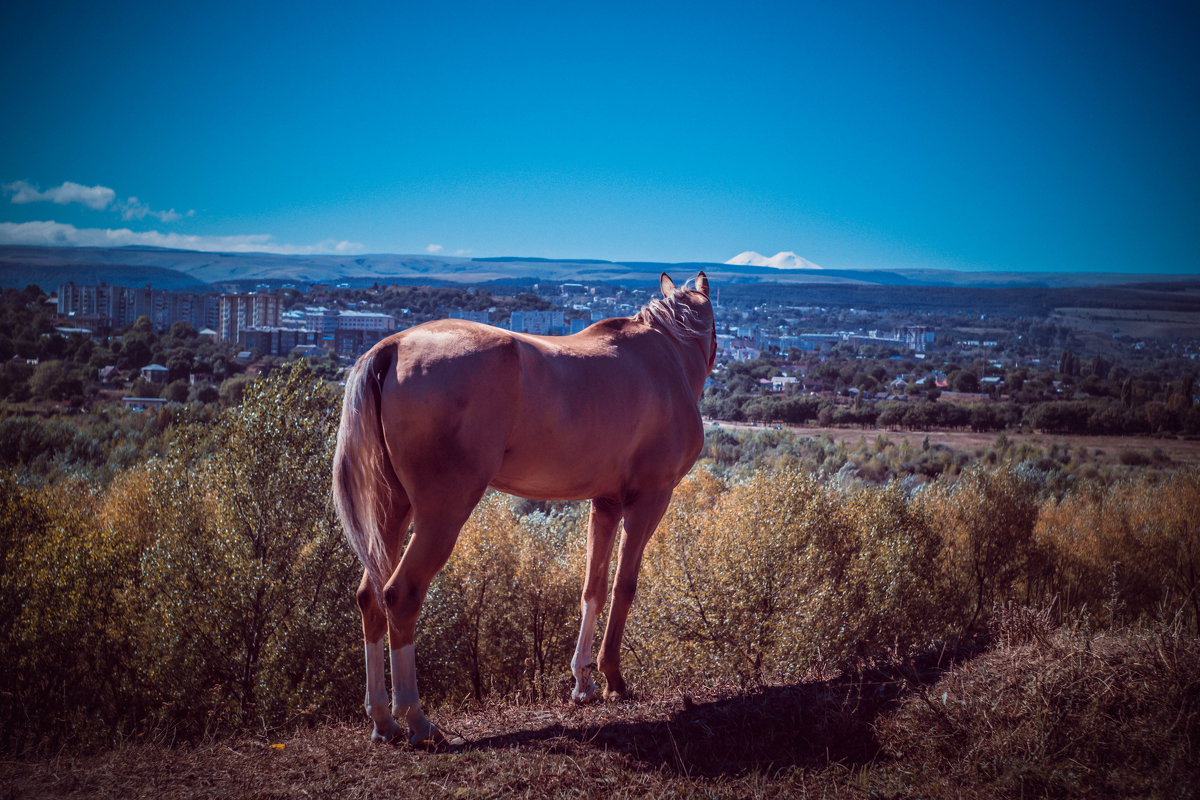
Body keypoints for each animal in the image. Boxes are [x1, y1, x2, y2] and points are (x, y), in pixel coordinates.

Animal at [331, 272, 710, 748]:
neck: (666, 355)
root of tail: (393, 346)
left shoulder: (604, 503)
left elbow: (593, 586)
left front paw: (583, 681)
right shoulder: (650, 499)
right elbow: (624, 586)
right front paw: (612, 679)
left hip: (391, 509)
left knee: (370, 596)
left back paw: (383, 719)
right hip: (441, 514)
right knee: (401, 595)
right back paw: (416, 720)